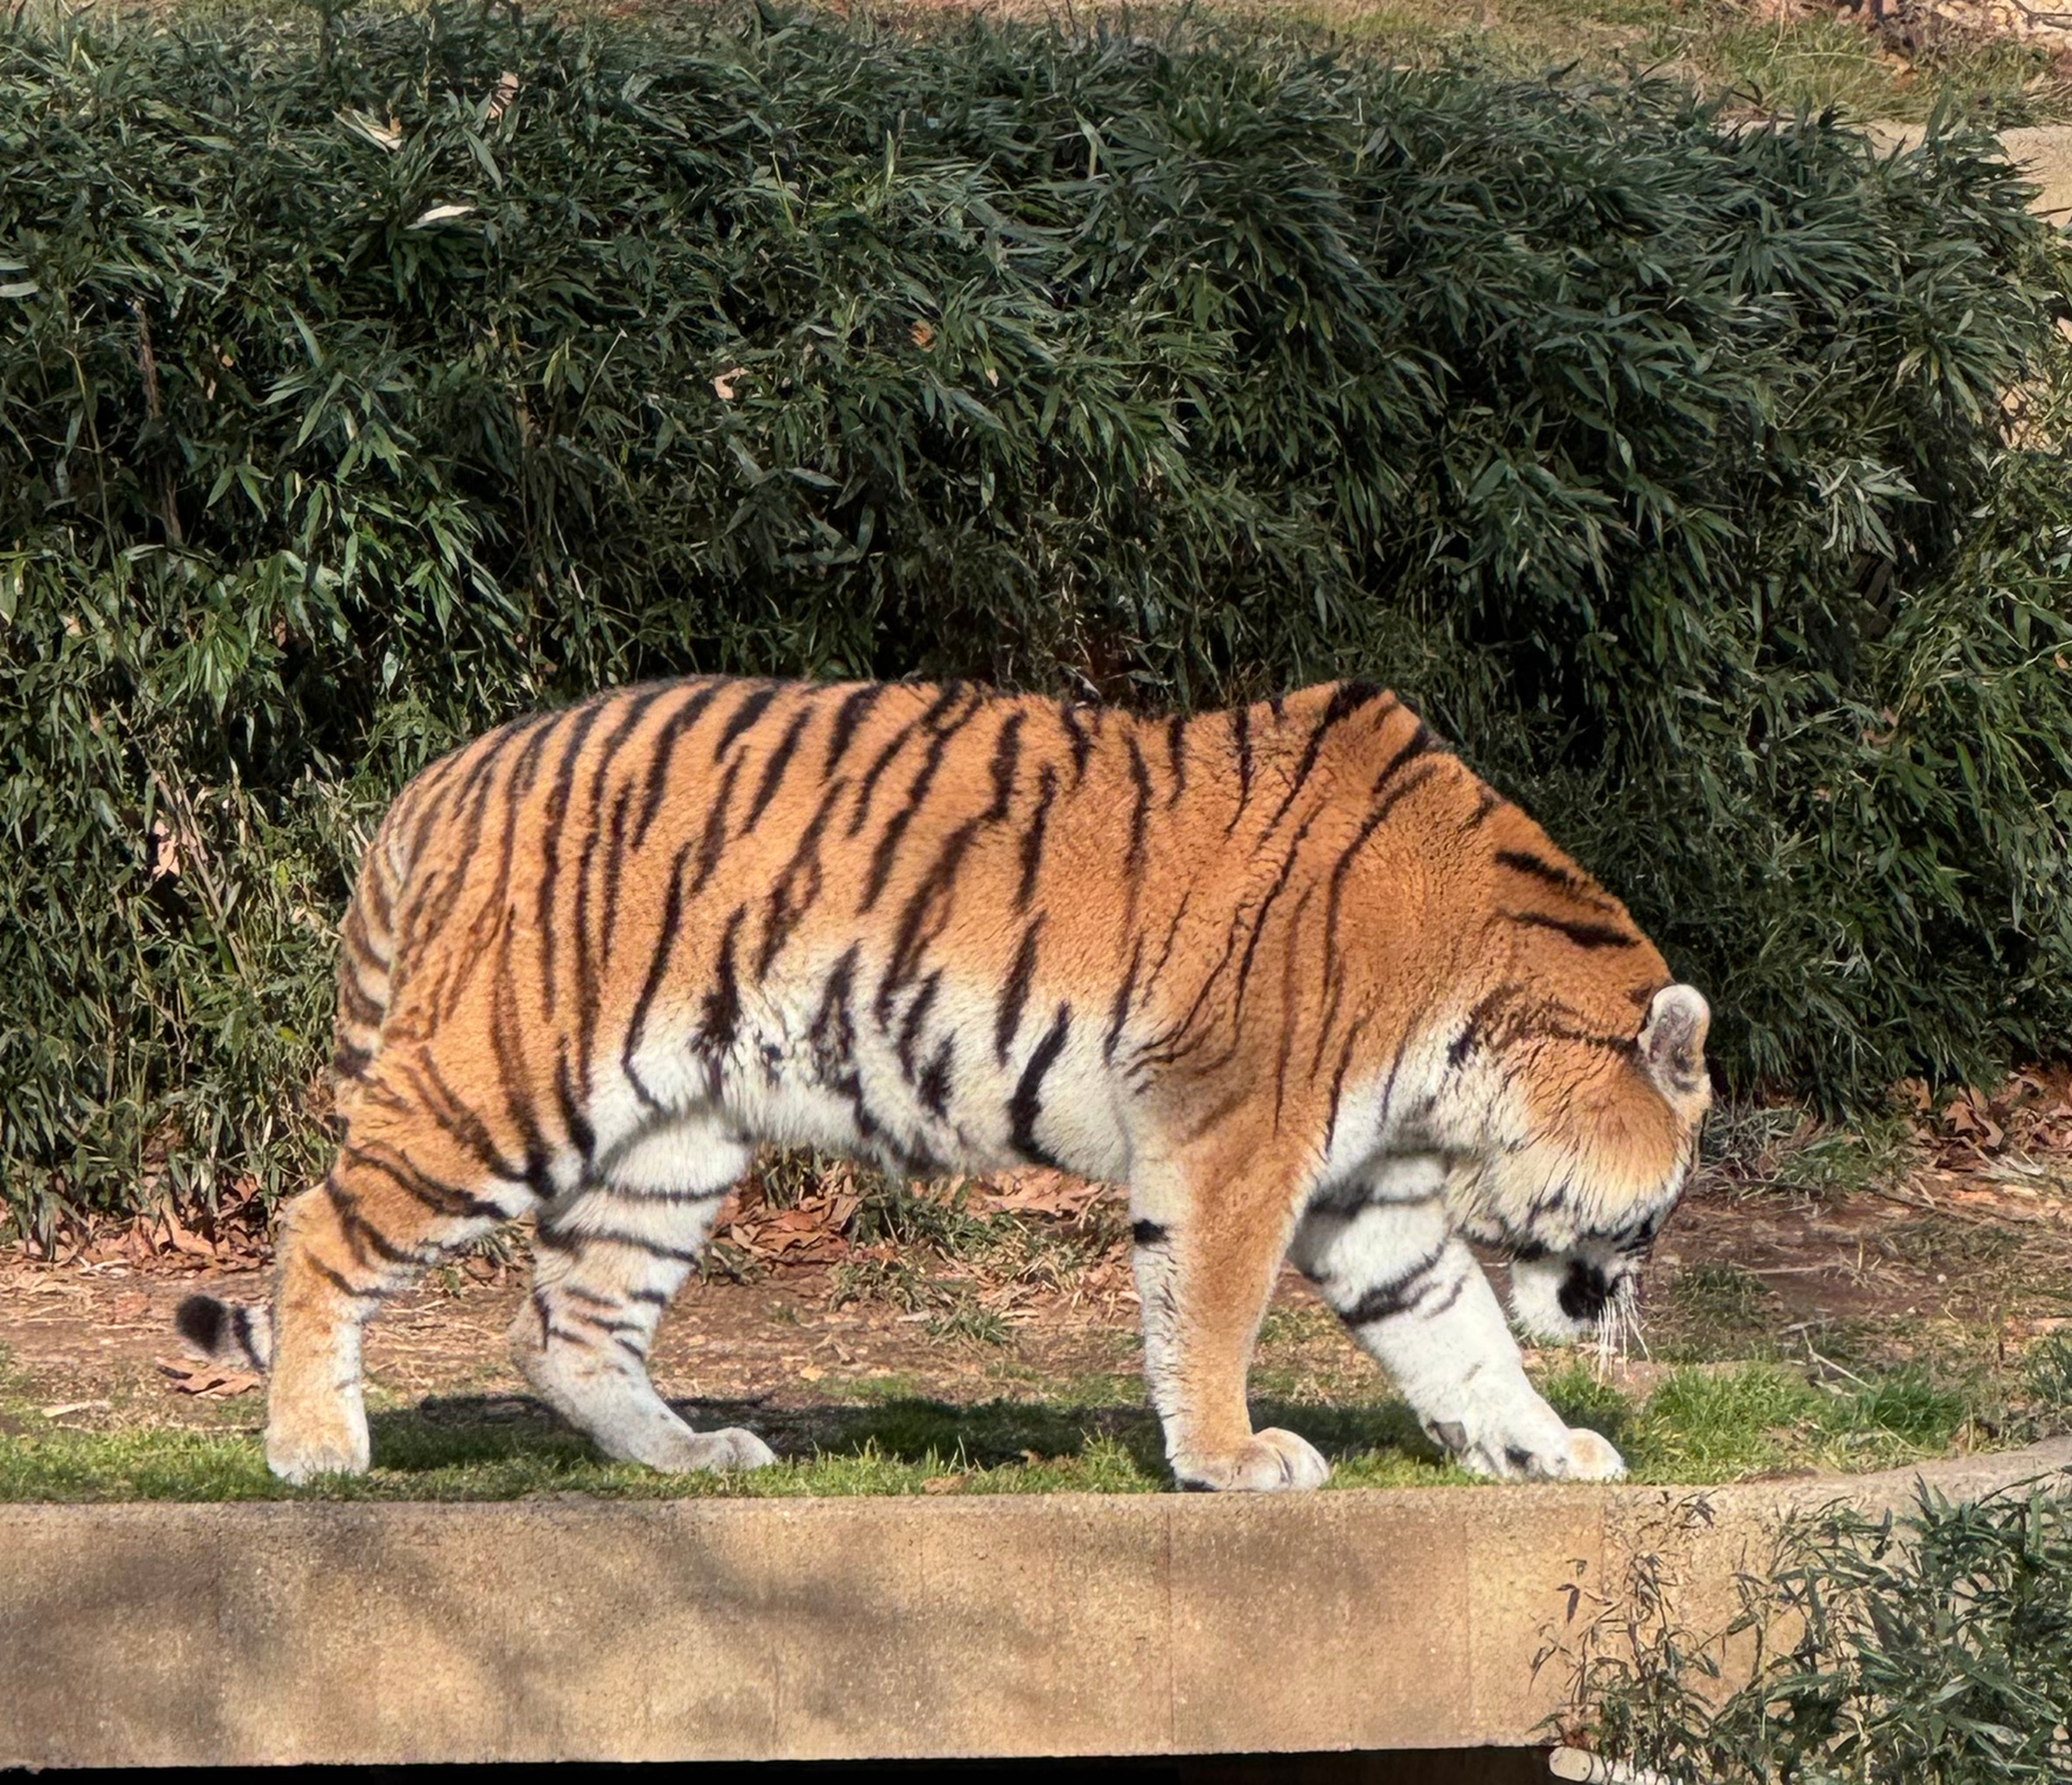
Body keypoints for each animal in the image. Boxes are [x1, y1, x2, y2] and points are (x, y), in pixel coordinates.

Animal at [176, 675, 1711, 1490]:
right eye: (1658, 1210)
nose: (1624, 1304)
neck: (1478, 1048)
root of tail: (442, 779)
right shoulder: (1234, 1141)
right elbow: (1211, 1319)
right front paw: (1231, 1460)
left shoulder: (1371, 1194)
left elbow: (1457, 1332)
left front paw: (1545, 1447)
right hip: (502, 1082)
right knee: (320, 1228)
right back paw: (314, 1446)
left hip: (670, 1144)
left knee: (568, 1326)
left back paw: (690, 1458)